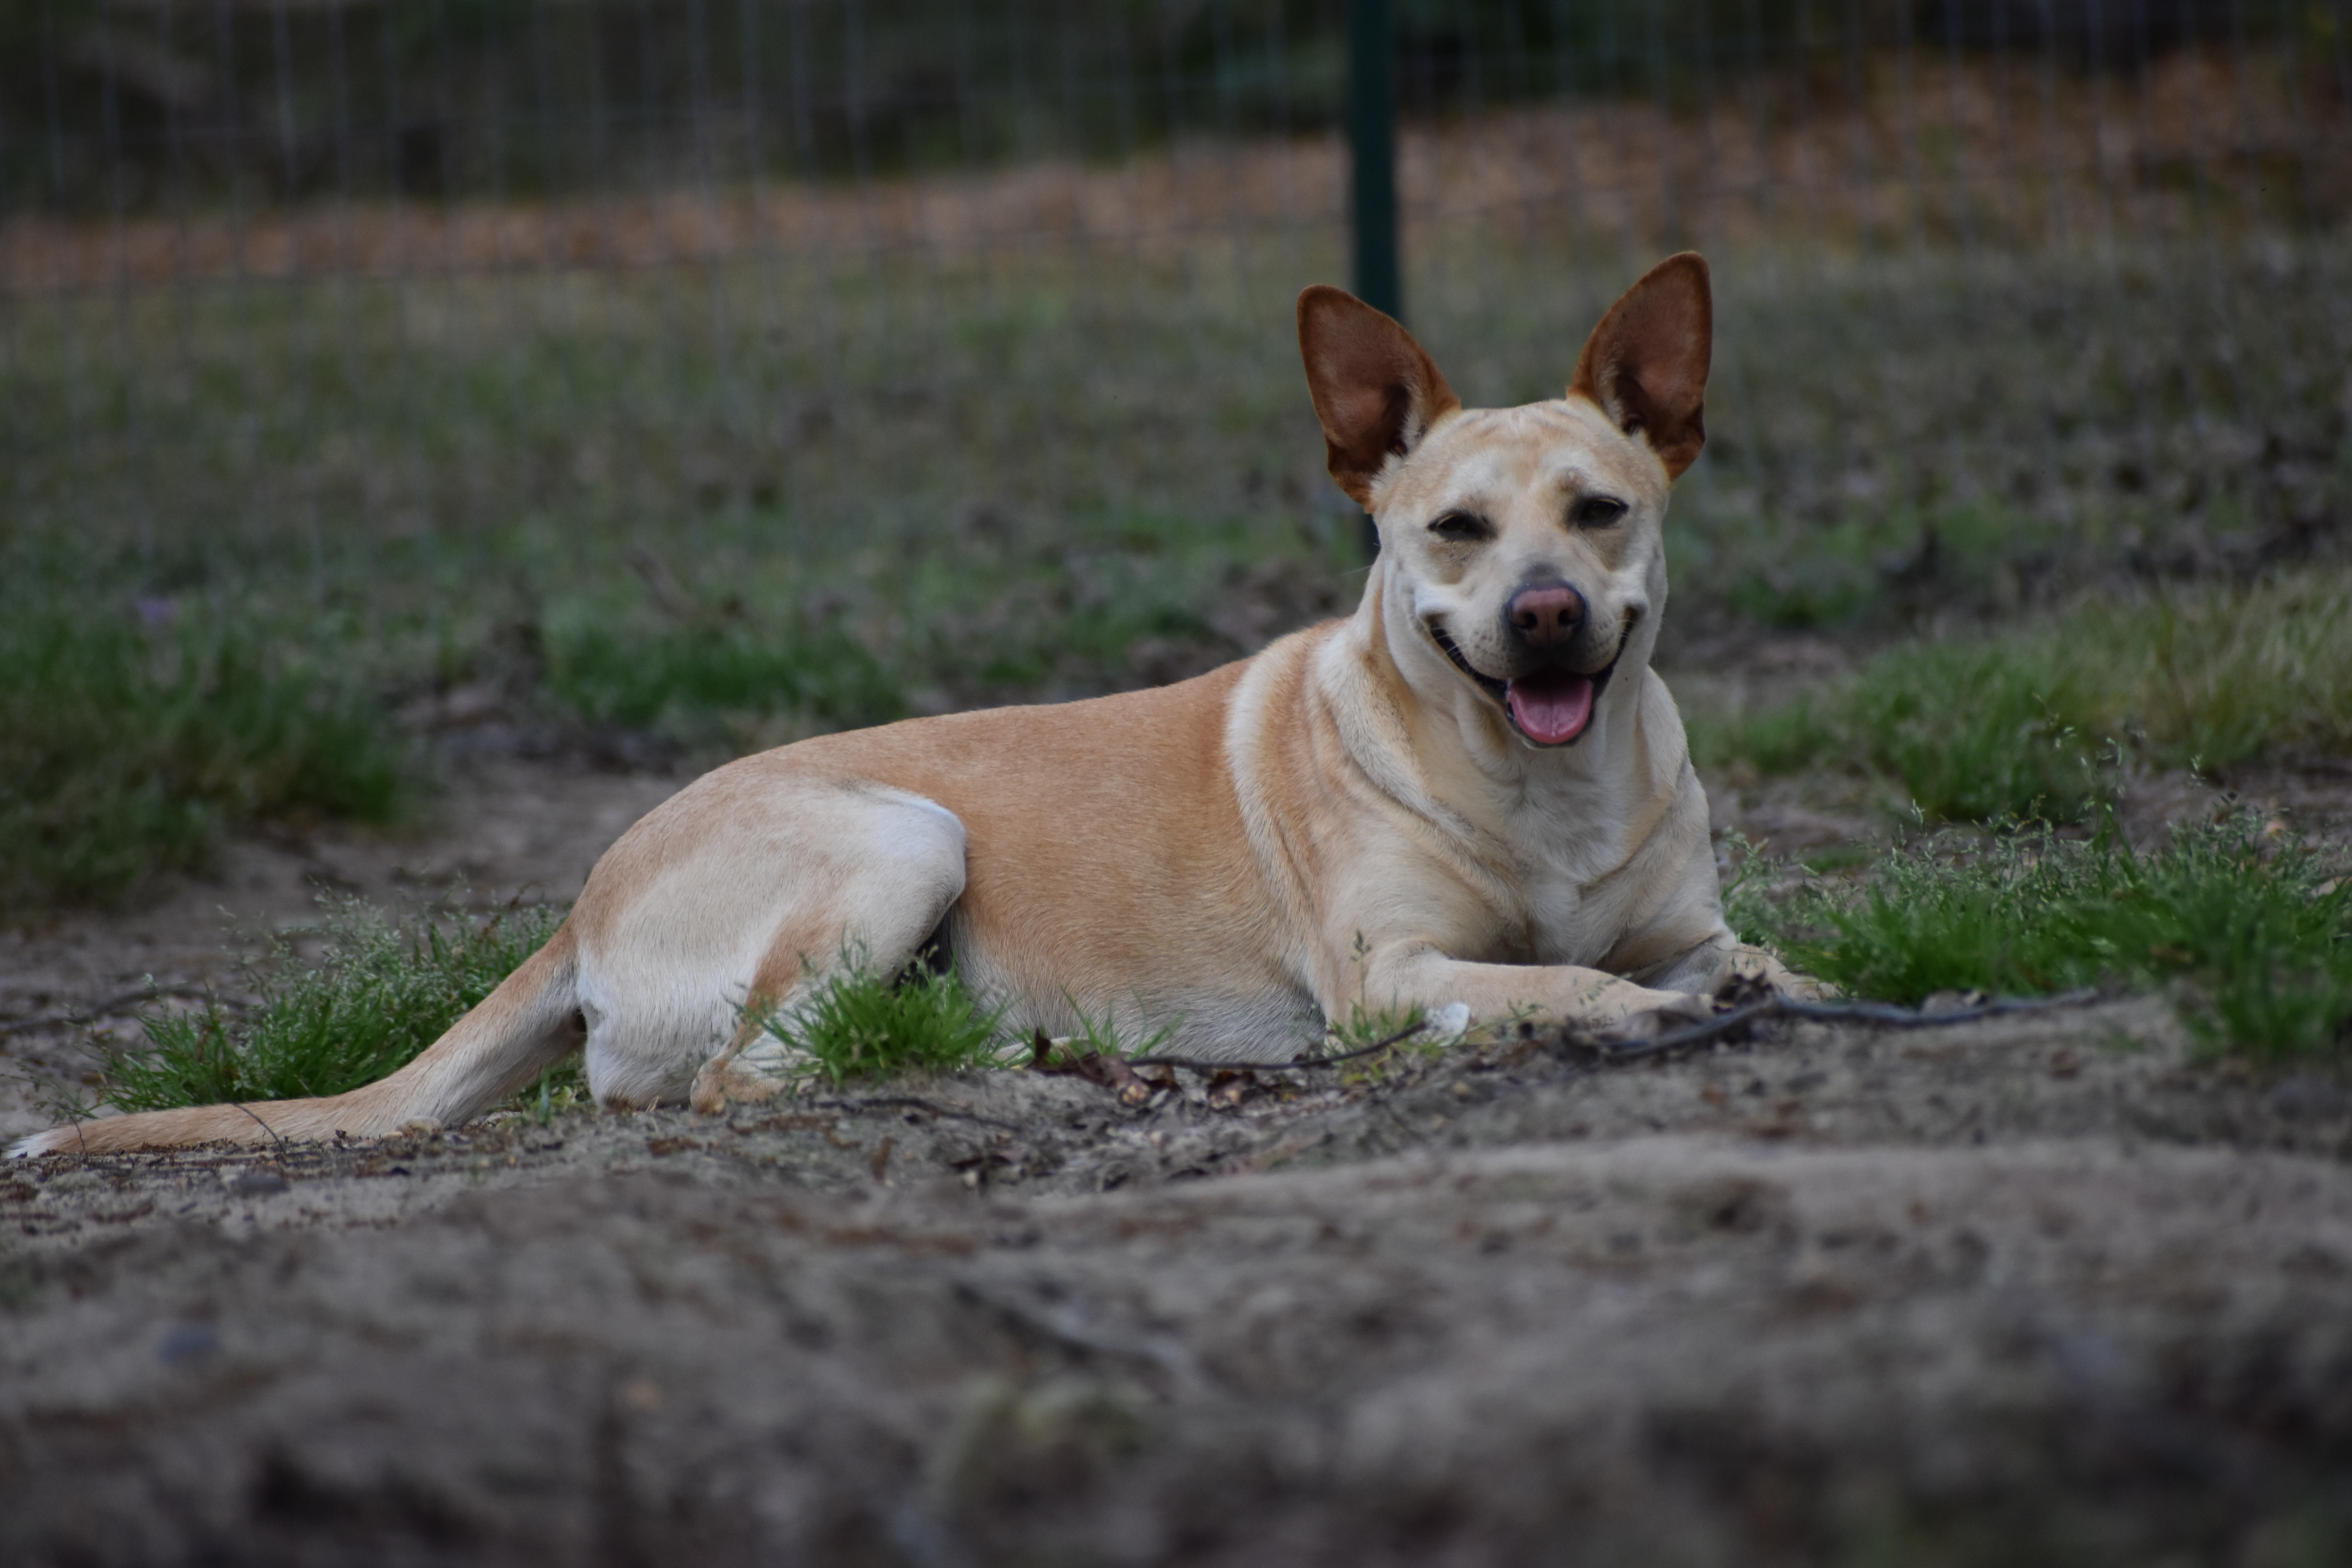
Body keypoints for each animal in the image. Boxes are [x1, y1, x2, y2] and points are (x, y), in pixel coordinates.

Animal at [14, 251, 1778, 1161]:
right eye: (1454, 532)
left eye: (1599, 513)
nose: (1545, 618)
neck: (1544, 796)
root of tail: (582, 901)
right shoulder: (1395, 974)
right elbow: (1561, 986)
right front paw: (1632, 1017)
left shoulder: (1690, 921)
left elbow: (1753, 963)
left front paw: (1753, 992)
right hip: (904, 838)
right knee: (740, 1081)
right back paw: (1026, 1083)